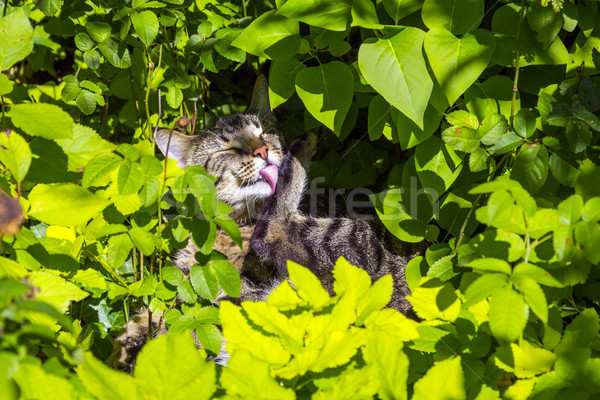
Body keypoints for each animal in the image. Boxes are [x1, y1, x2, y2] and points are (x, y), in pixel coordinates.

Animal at [108, 76, 420, 372]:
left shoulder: (241, 291)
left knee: (274, 230)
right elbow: (153, 318)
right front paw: (128, 346)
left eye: (263, 132)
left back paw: (302, 148)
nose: (262, 150)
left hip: (349, 238)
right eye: (228, 149)